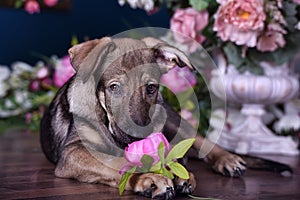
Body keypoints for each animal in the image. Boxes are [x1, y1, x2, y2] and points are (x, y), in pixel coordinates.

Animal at [39, 36, 246, 199]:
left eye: (151, 87)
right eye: (114, 87)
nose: (136, 135)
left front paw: (172, 172)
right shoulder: (73, 151)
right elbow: (117, 162)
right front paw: (150, 178)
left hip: (171, 118)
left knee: (199, 140)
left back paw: (228, 159)